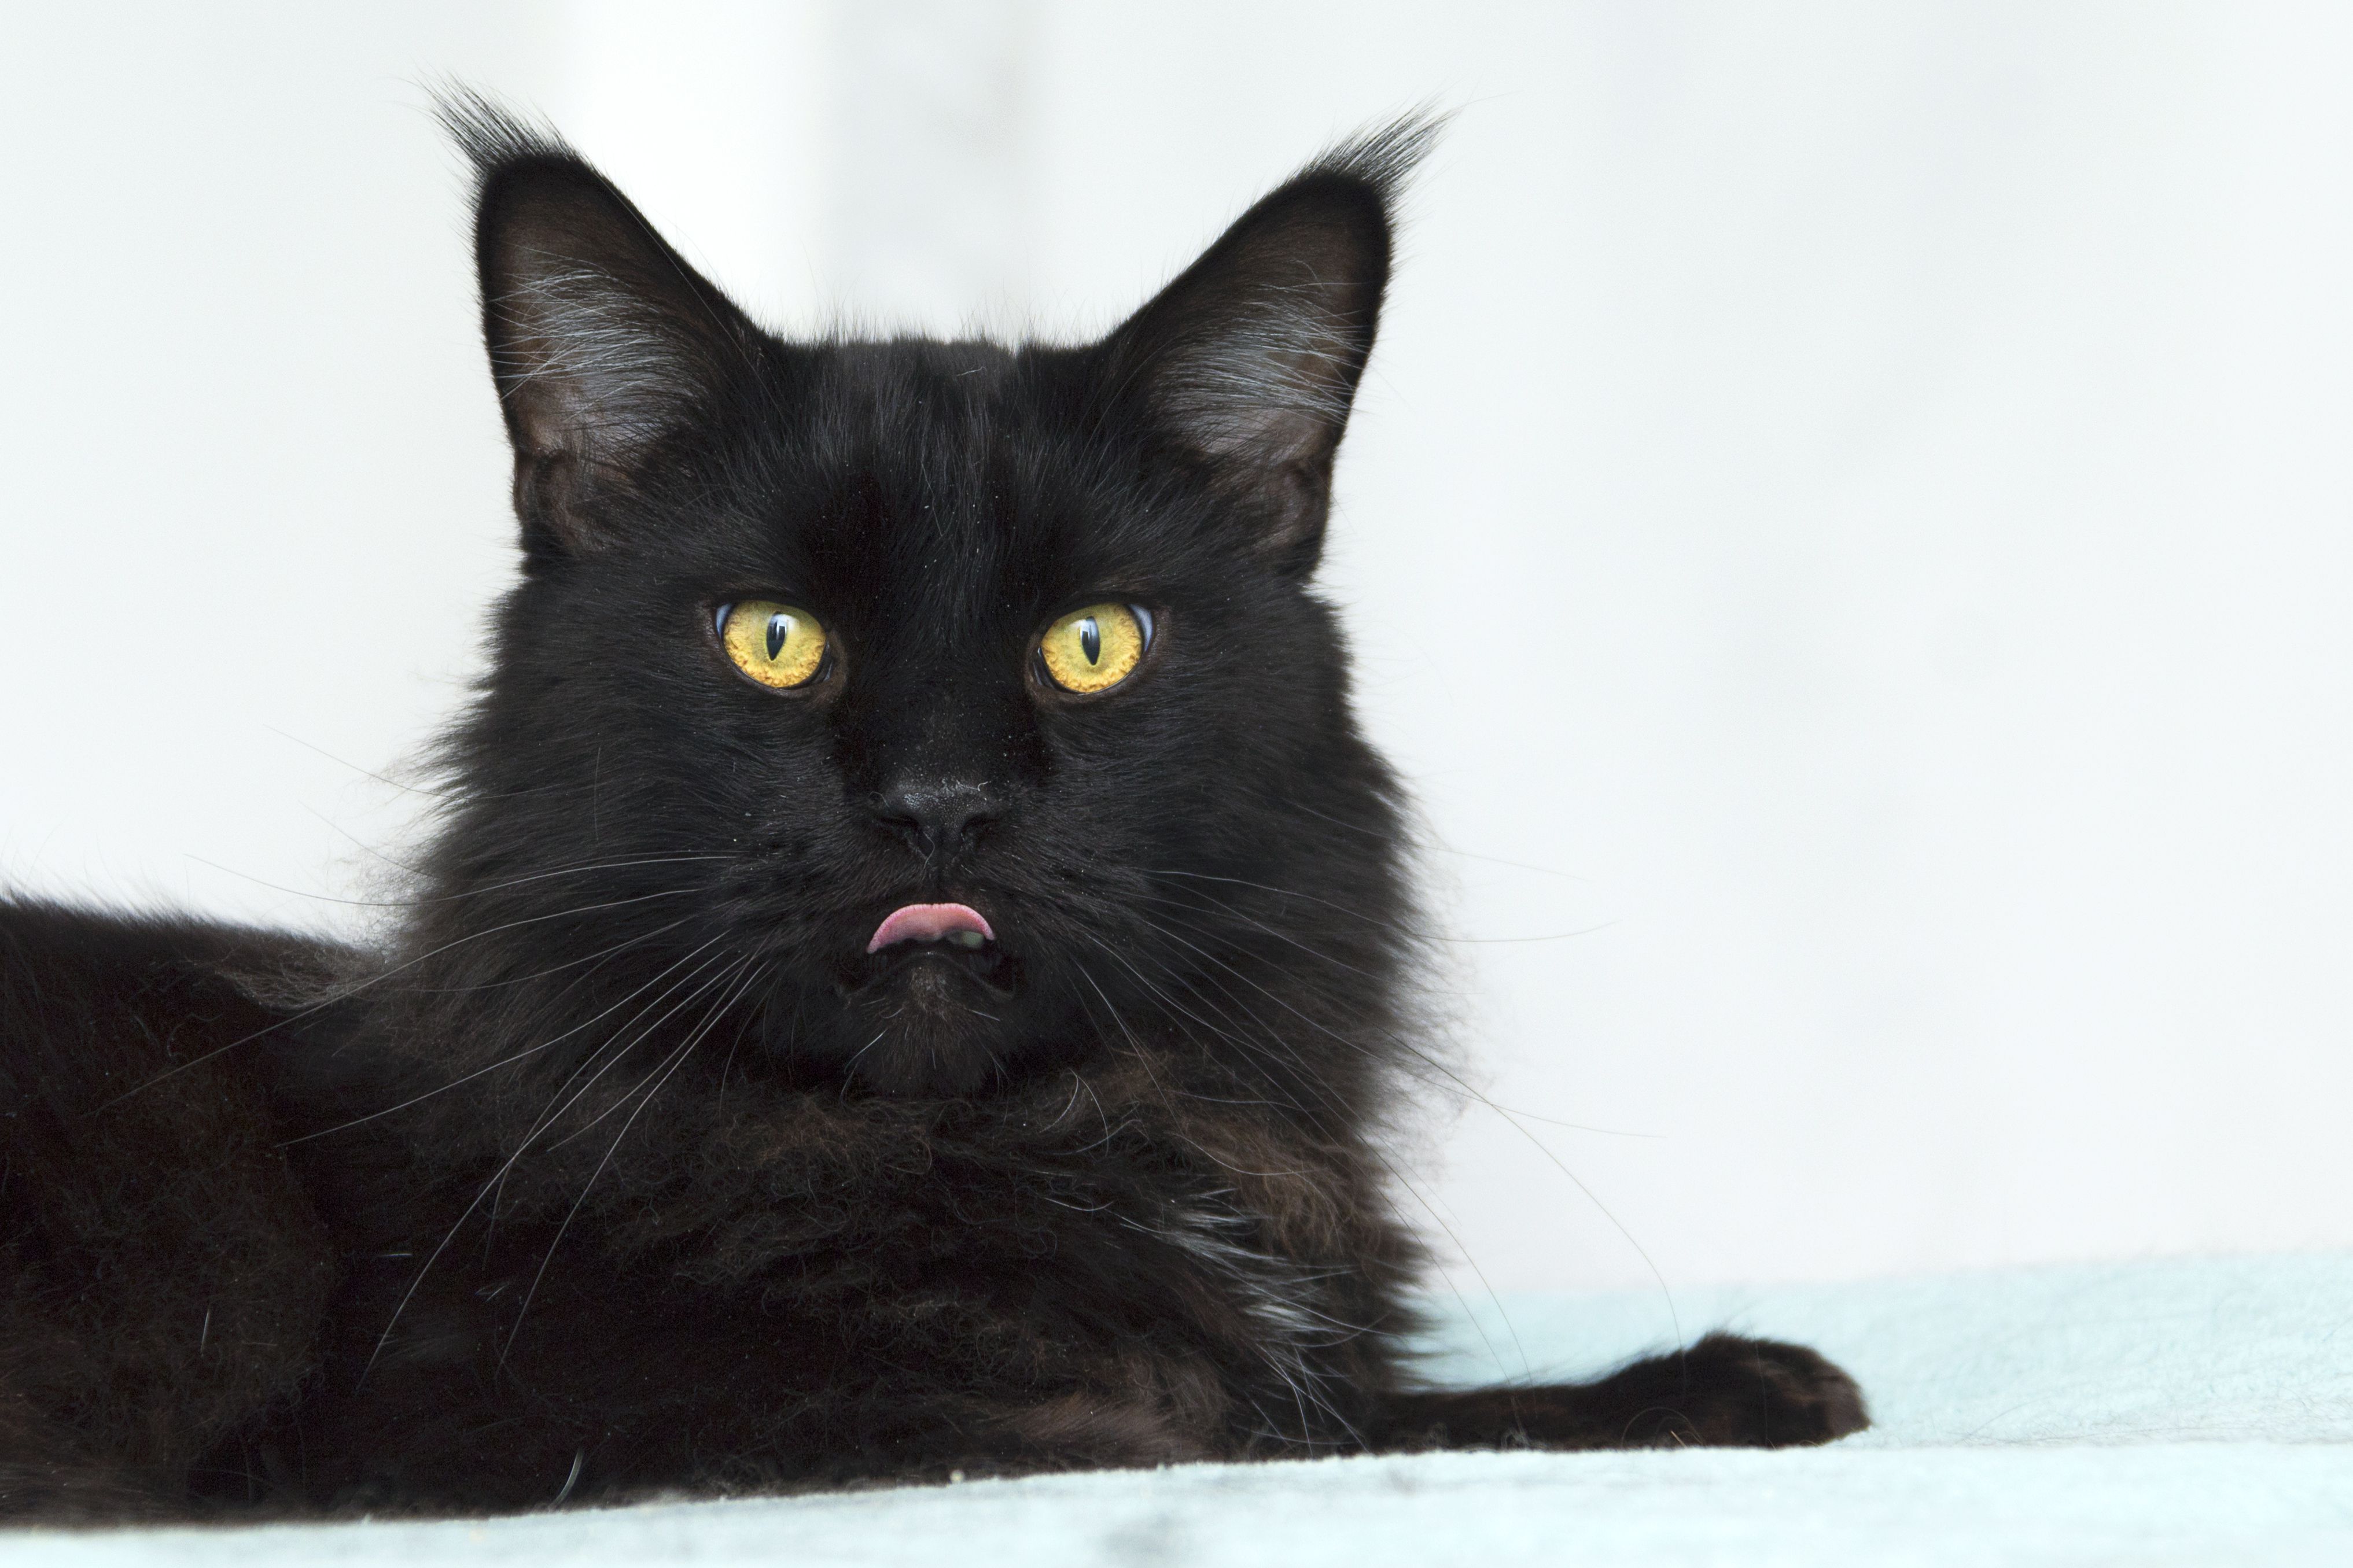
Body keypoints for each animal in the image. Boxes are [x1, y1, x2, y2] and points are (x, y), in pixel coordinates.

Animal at [4, 98, 1873, 1523]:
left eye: (1093, 644)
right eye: (771, 638)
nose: (939, 801)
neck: (1002, 1142)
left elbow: (1375, 1402)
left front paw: (1750, 1387)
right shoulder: (502, 1422)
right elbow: (1236, 1415)